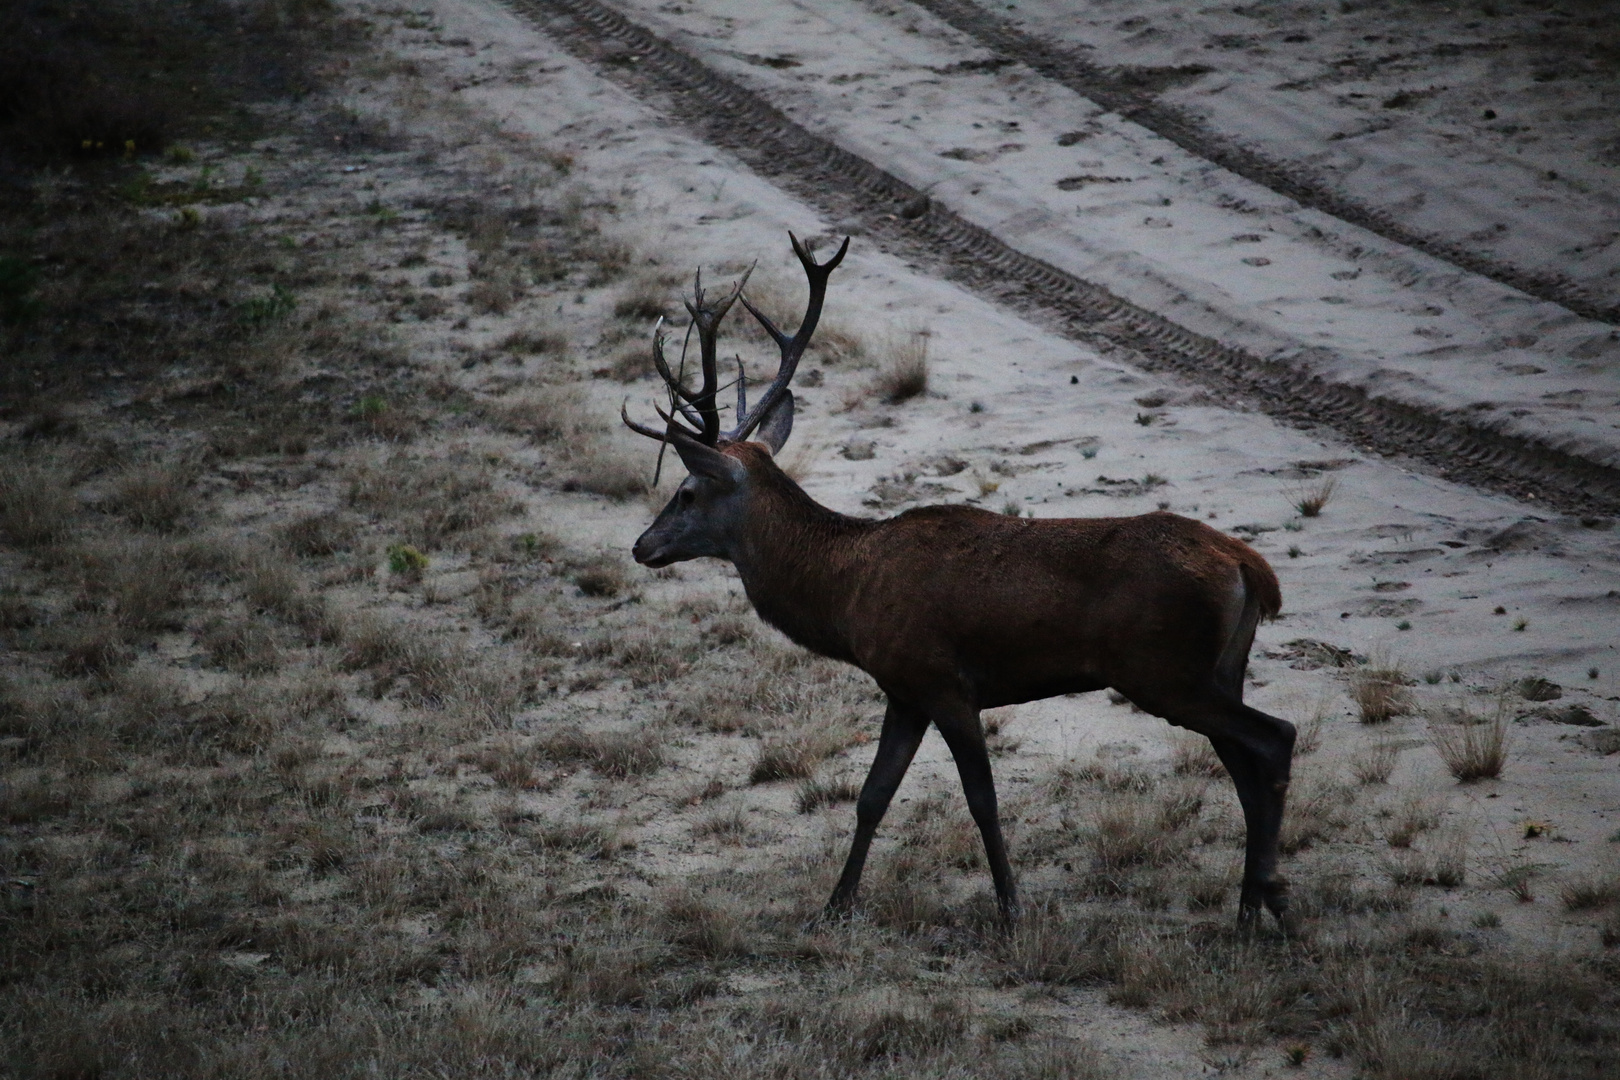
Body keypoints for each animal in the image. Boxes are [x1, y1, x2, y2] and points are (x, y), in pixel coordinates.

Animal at [618, 236, 1289, 932]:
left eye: (686, 491)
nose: (641, 545)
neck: (846, 595)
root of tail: (1251, 568)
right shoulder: (903, 689)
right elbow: (872, 795)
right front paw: (835, 905)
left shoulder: (944, 680)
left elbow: (981, 799)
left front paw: (1011, 908)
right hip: (1217, 668)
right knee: (1243, 762)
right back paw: (1249, 910)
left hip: (1161, 668)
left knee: (1274, 739)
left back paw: (1272, 899)